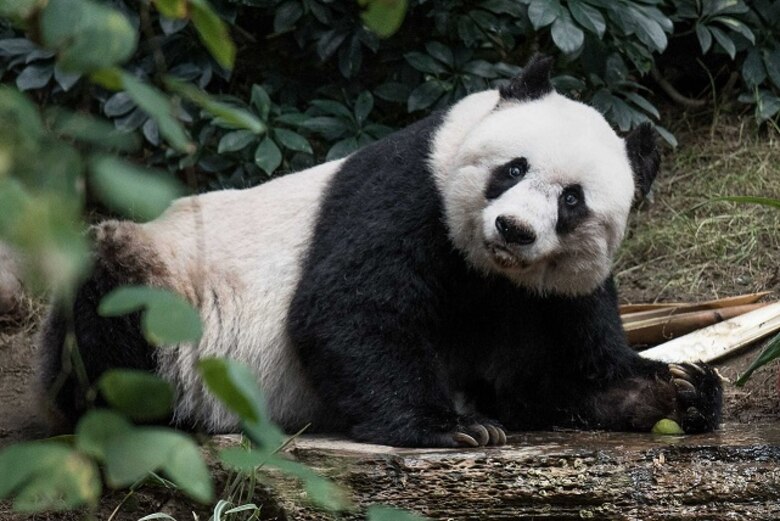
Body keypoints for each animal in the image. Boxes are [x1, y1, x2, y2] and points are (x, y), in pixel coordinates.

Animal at [41, 55, 723, 448]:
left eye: (573, 201)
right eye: (513, 168)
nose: (514, 230)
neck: (490, 270)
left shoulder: (551, 291)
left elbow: (555, 371)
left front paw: (681, 390)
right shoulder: (407, 195)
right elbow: (350, 309)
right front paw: (455, 428)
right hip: (163, 279)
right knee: (112, 308)